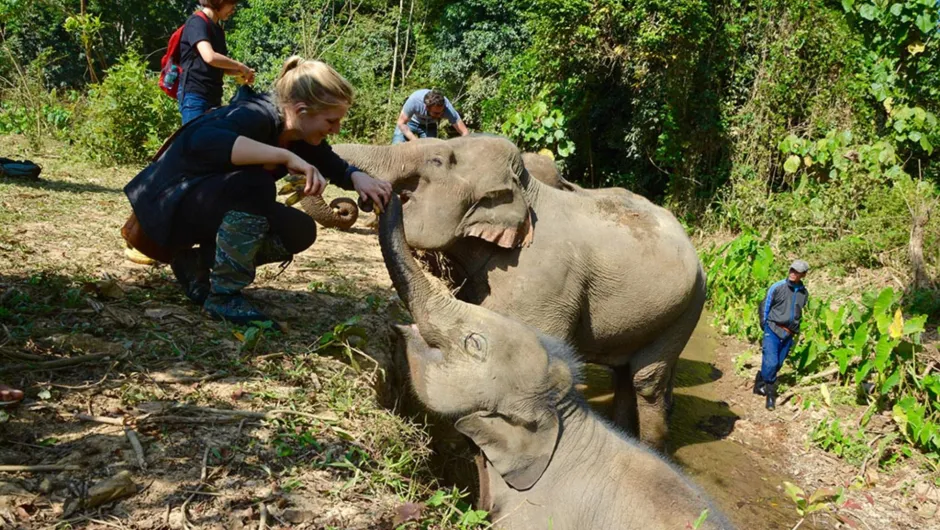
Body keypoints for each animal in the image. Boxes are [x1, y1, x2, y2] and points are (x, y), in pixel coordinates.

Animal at [334, 135, 700, 446]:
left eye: (436, 161)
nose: (376, 196)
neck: (528, 190)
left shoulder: (545, 283)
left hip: (687, 309)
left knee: (646, 381)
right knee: (623, 375)